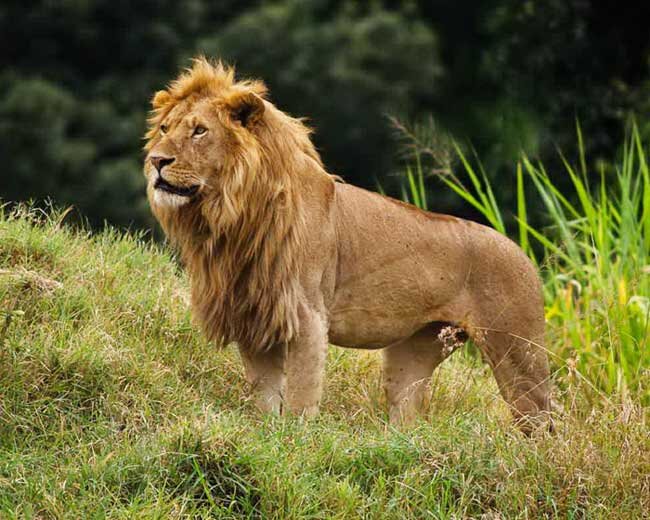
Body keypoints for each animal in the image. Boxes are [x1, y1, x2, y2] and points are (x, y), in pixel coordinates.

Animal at [143, 58, 552, 432]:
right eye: (164, 128)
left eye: (199, 131)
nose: (156, 160)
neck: (230, 214)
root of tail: (523, 253)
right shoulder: (254, 313)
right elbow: (265, 395)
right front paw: (266, 434)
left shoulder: (307, 316)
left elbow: (300, 396)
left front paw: (296, 442)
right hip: (414, 353)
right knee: (408, 415)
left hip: (519, 353)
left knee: (542, 422)